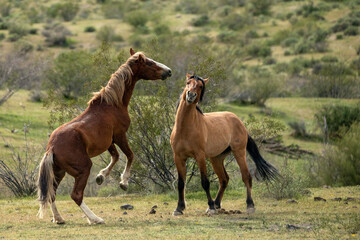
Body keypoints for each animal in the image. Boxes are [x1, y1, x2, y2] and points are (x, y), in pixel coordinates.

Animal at [36, 48, 172, 225]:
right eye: (149, 63)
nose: (168, 71)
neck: (112, 104)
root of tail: (51, 148)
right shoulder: (120, 135)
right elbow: (130, 155)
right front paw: (123, 182)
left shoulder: (109, 141)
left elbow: (115, 156)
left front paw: (101, 176)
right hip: (83, 168)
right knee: (76, 195)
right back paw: (95, 219)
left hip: (59, 172)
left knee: (52, 193)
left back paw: (59, 219)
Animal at [169, 73, 278, 216]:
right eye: (188, 82)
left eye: (200, 86)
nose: (190, 95)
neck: (185, 129)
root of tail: (239, 121)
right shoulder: (178, 157)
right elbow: (181, 183)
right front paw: (179, 208)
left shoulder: (200, 156)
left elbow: (205, 182)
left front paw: (210, 207)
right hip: (216, 158)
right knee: (224, 179)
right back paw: (217, 204)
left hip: (239, 152)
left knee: (246, 177)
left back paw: (249, 205)